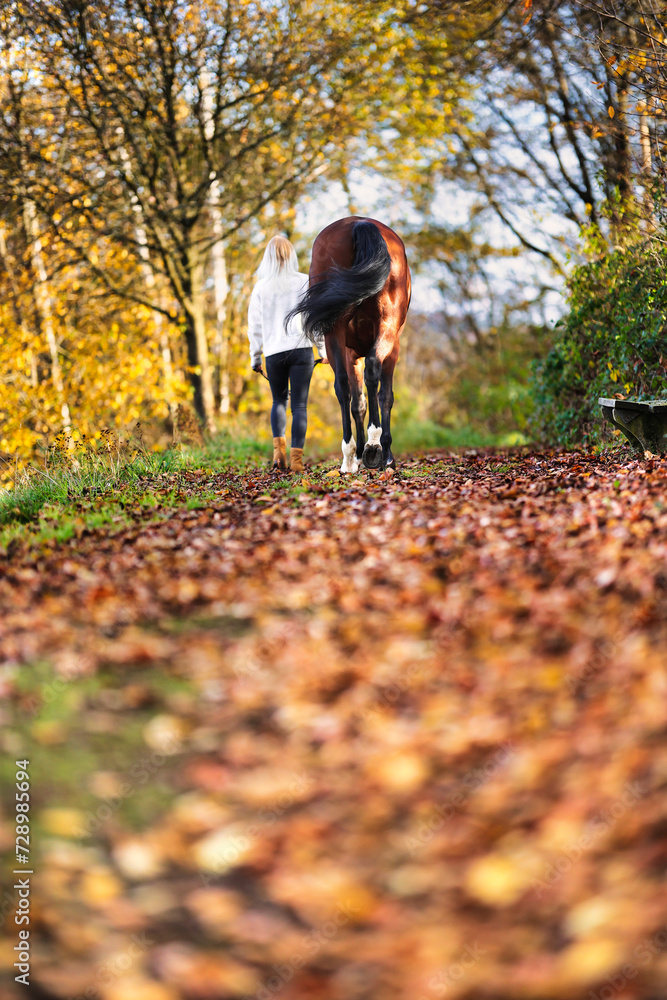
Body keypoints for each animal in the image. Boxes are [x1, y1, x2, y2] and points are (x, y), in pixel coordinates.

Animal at [288, 217, 411, 473]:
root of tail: (360, 223)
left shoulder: (350, 354)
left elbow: (358, 403)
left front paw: (360, 453)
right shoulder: (392, 349)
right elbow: (386, 396)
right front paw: (384, 453)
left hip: (334, 331)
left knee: (342, 386)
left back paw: (350, 456)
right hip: (387, 325)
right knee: (372, 370)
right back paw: (373, 447)